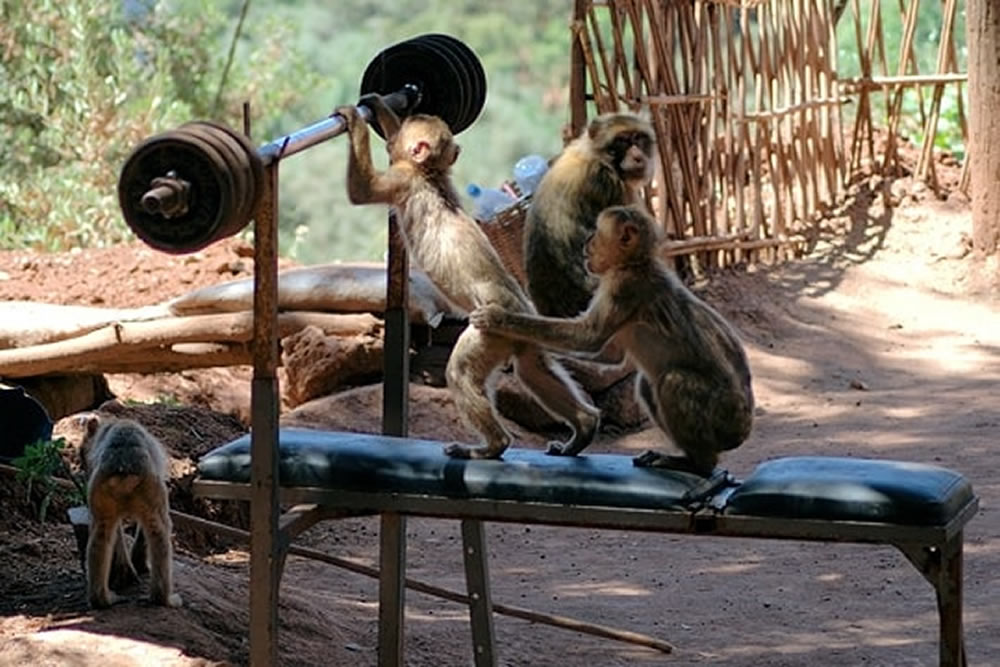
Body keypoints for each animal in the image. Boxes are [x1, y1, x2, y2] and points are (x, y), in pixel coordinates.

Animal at [82, 416, 182, 608]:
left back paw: (101, 599)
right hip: (151, 484)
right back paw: (163, 598)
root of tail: (123, 464)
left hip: (100, 487)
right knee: (160, 532)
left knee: (100, 535)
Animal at [334, 95, 600, 460]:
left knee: (461, 372)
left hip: (490, 328)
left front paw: (354, 121)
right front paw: (378, 106)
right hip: (520, 330)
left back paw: (492, 446)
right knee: (531, 368)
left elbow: (363, 190)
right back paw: (584, 427)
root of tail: (518, 307)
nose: (396, 135)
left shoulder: (404, 178)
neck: (429, 174)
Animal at [471, 205, 754, 476]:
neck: (633, 264)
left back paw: (697, 465)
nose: (587, 241)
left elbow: (588, 338)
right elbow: (611, 355)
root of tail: (743, 431)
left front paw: (501, 319)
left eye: (596, 232)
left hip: (723, 418)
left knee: (673, 381)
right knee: (647, 385)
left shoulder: (621, 286)